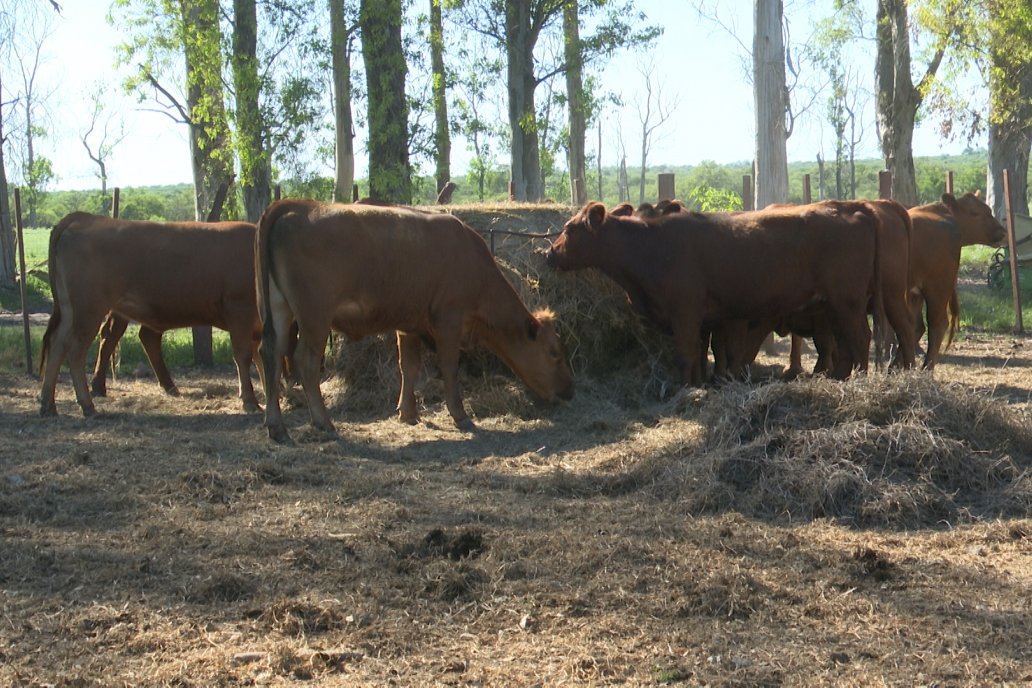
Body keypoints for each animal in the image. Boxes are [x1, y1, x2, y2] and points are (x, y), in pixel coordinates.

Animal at [40, 212, 264, 416]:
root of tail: (85, 217)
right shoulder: (240, 310)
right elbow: (244, 356)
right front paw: (250, 401)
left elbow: (260, 357)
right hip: (88, 310)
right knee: (75, 350)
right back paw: (87, 405)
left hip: (70, 310)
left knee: (58, 344)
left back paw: (48, 405)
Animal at [251, 198, 573, 447]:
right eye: (554, 353)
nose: (569, 390)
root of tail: (297, 205)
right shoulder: (448, 321)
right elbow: (449, 367)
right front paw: (461, 416)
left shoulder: (409, 326)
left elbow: (409, 366)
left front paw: (408, 413)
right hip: (315, 318)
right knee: (305, 361)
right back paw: (324, 422)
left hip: (280, 310)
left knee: (270, 354)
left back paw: (277, 428)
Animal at [544, 199, 883, 385]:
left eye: (569, 229)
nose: (549, 253)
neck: (651, 246)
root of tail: (855, 209)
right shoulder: (708, 319)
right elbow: (702, 354)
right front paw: (699, 384)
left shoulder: (685, 312)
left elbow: (686, 354)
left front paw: (684, 390)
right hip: (832, 306)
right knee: (844, 345)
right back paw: (839, 378)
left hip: (847, 301)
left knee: (860, 339)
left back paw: (861, 380)